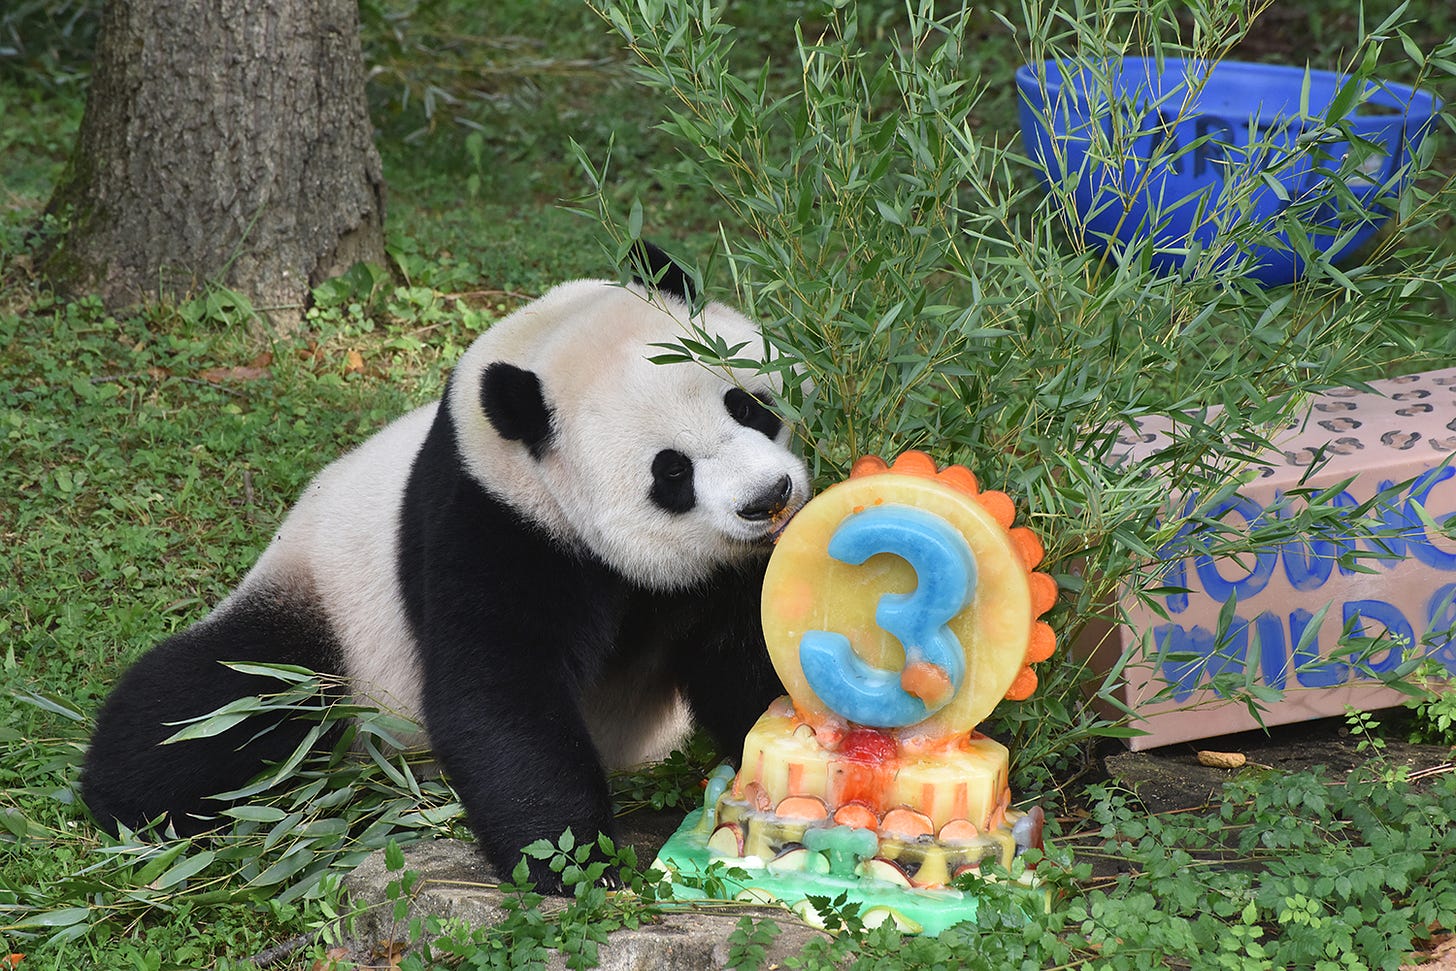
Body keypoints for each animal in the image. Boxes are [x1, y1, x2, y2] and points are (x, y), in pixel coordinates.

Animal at [79, 247, 815, 890]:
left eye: (747, 405)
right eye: (671, 472)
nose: (767, 498)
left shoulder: (727, 566)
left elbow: (745, 653)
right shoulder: (495, 518)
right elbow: (496, 690)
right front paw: (575, 862)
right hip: (325, 614)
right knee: (219, 701)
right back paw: (125, 797)